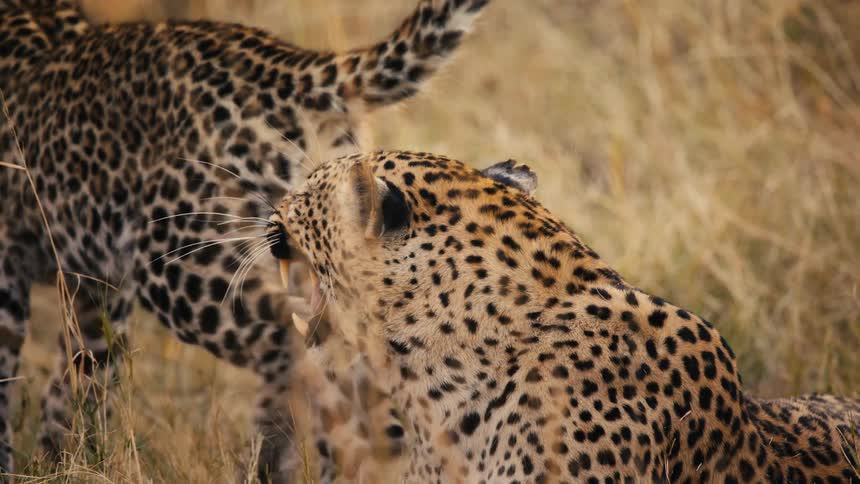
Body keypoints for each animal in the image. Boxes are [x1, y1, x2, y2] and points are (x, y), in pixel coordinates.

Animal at [0, 0, 491, 481]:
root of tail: (288, 65)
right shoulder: (95, 281)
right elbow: (81, 379)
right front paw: (64, 463)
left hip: (179, 259)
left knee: (297, 349)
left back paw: (279, 457)